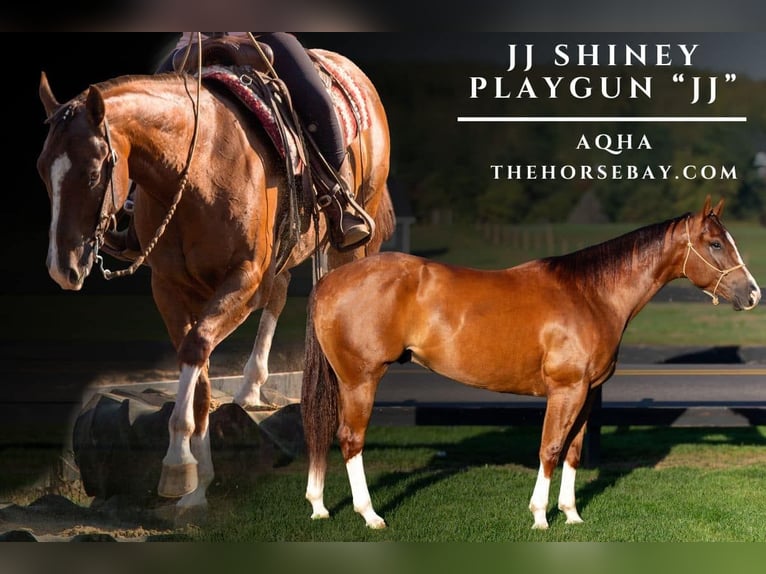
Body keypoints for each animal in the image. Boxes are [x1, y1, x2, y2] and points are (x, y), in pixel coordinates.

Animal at [36, 50, 394, 515]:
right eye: (43, 171)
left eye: (94, 172)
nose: (62, 267)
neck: (195, 172)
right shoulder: (170, 288)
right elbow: (201, 377)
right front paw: (196, 484)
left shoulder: (242, 279)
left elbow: (197, 348)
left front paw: (176, 464)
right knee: (280, 292)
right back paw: (251, 385)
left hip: (350, 237)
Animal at [301, 196, 761, 530]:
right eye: (716, 244)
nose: (753, 293)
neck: (590, 294)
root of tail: (329, 281)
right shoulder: (566, 390)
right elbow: (550, 448)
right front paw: (540, 515)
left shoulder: (587, 393)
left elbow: (573, 451)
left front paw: (572, 514)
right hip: (361, 379)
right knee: (350, 439)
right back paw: (370, 515)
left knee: (325, 434)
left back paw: (319, 506)